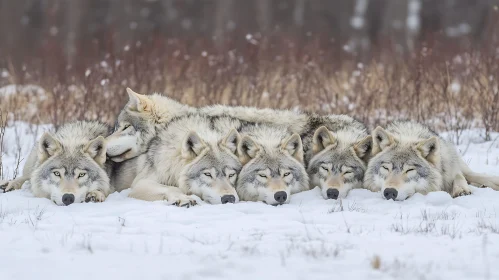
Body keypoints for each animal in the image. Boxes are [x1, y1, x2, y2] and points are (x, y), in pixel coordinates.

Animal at [364, 121, 499, 200]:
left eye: (410, 170)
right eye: (386, 168)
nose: (389, 192)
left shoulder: (450, 168)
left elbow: (458, 176)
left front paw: (461, 190)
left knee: (471, 174)